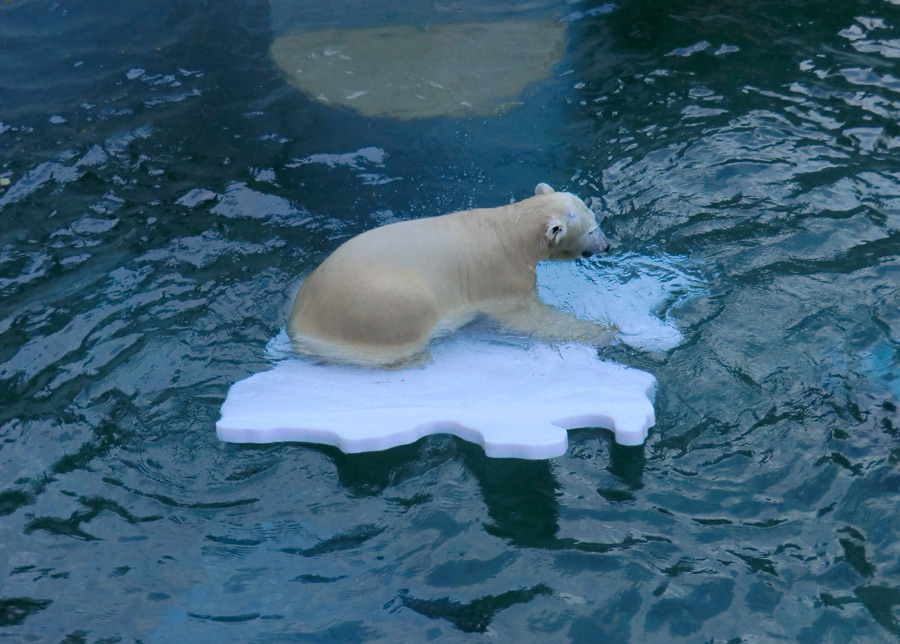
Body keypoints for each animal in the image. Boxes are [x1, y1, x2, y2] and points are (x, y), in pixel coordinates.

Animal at [288, 182, 620, 368]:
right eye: (592, 229)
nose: (607, 245)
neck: (508, 231)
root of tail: (300, 328)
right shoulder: (503, 278)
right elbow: (530, 316)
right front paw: (606, 331)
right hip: (382, 305)